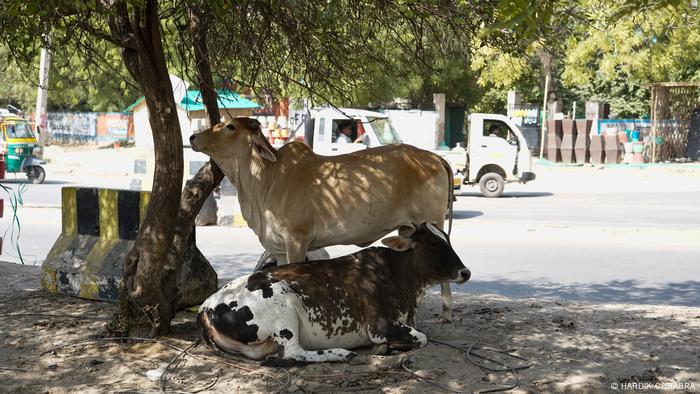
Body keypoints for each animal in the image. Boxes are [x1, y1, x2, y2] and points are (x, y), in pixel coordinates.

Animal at [190, 117, 460, 324]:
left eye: (230, 126)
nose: (193, 137)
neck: (266, 179)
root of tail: (436, 158)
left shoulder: (296, 242)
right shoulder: (278, 248)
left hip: (431, 222)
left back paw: (446, 313)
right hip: (407, 229)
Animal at [197, 223, 470, 362]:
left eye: (446, 237)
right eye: (432, 242)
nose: (465, 272)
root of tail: (205, 307)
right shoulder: (380, 327)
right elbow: (422, 337)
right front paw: (387, 348)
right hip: (282, 308)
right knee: (293, 354)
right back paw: (341, 353)